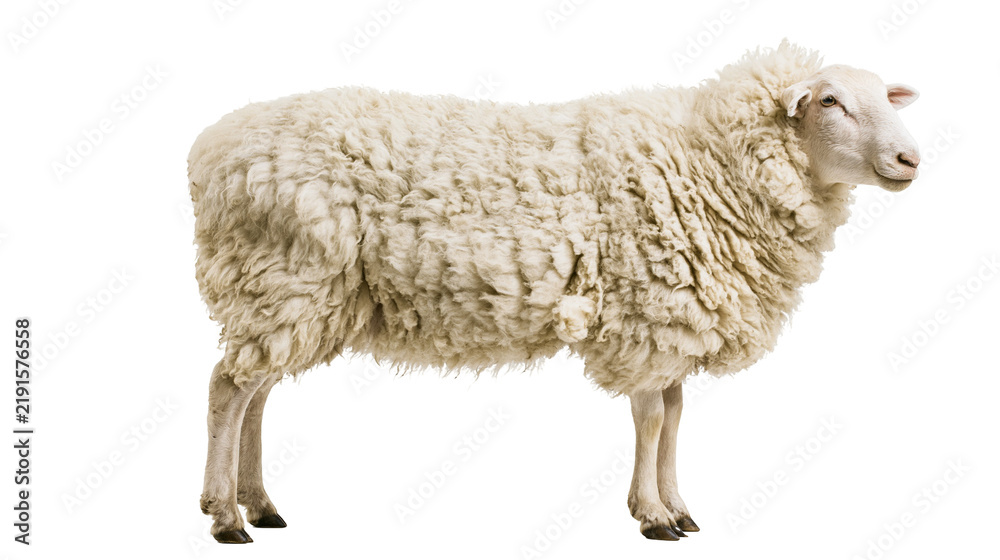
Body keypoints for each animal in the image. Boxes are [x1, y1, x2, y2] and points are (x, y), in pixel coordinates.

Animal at [189, 41, 920, 543]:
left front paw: (677, 507)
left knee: (256, 392)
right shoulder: (648, 315)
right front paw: (653, 515)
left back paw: (260, 503)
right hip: (286, 276)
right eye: (829, 101)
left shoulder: (672, 321)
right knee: (228, 389)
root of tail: (211, 150)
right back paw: (225, 516)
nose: (910, 159)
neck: (712, 159)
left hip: (291, 294)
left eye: (886, 98)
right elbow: (652, 418)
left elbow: (675, 415)